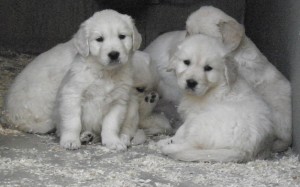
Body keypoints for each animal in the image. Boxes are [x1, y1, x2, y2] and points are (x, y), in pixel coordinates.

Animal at [5, 9, 142, 150]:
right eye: (99, 39)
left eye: (122, 36)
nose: (114, 54)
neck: (105, 73)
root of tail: (12, 116)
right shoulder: (72, 93)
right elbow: (73, 121)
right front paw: (71, 140)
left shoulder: (119, 99)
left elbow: (111, 124)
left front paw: (113, 141)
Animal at [157, 34, 274, 162]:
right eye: (186, 62)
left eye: (208, 68)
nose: (191, 82)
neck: (214, 87)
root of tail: (244, 151)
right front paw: (169, 139)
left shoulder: (192, 116)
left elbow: (181, 131)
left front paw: (170, 140)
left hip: (201, 122)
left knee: (192, 146)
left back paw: (169, 147)